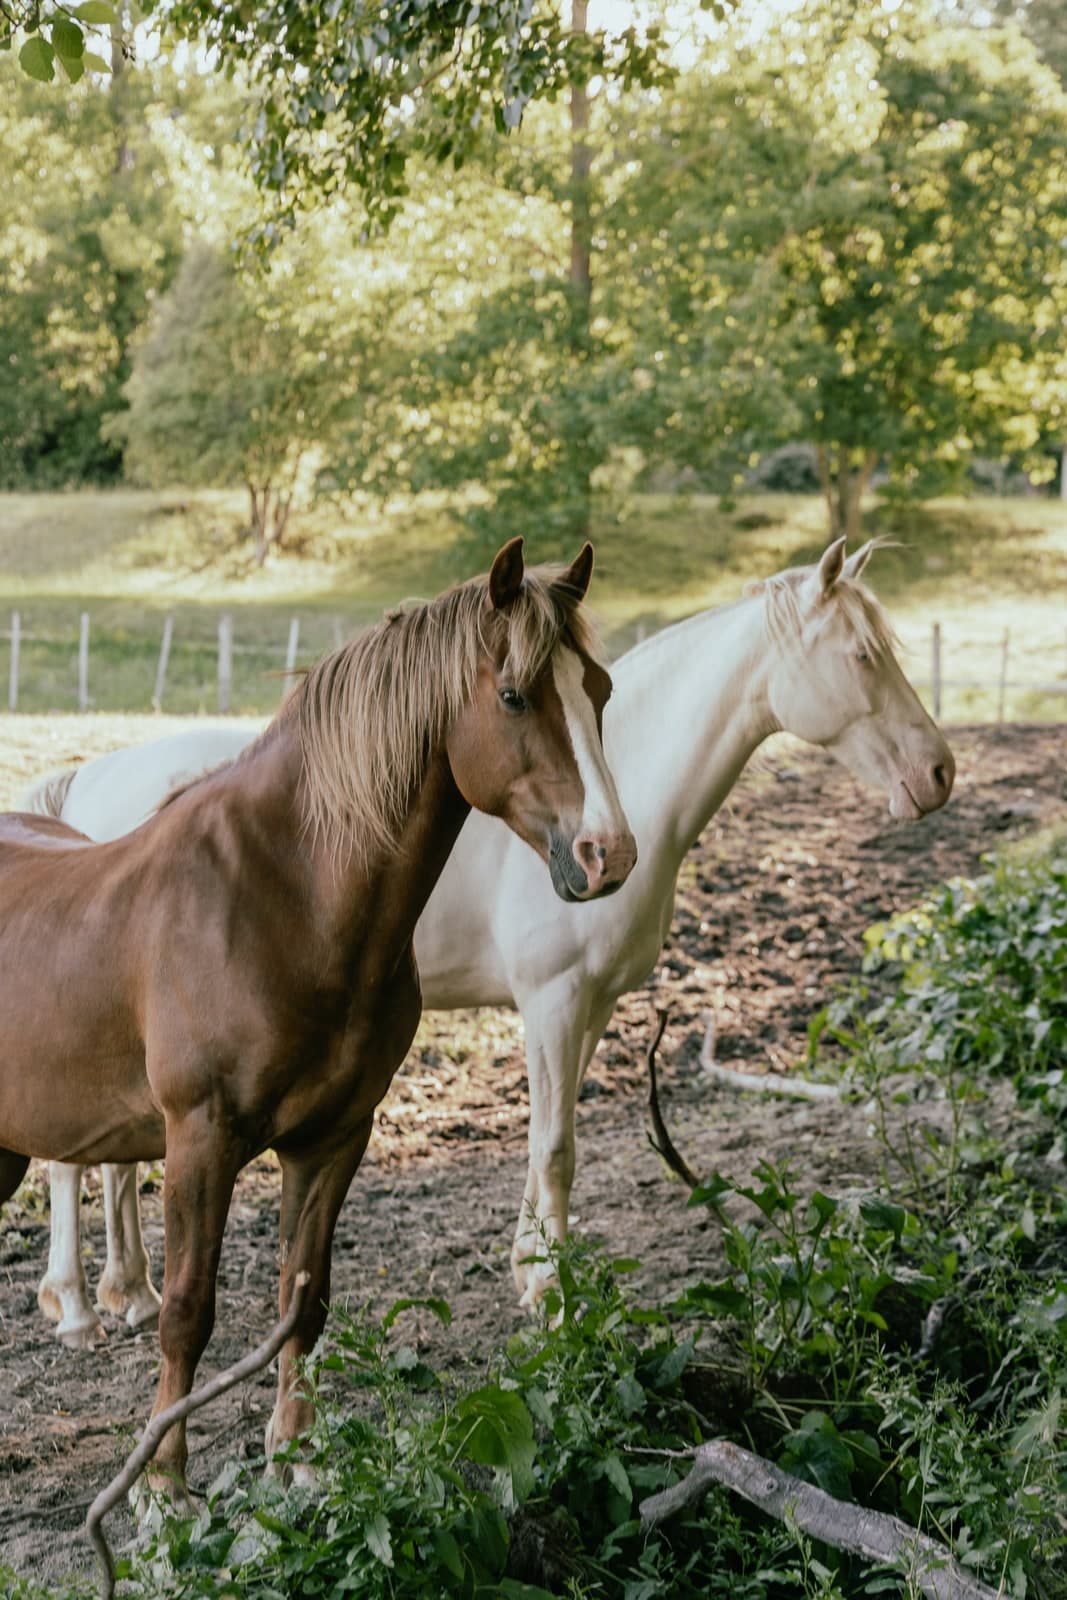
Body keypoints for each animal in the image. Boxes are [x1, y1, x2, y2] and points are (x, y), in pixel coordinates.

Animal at [0, 537, 637, 1504]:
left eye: (597, 689)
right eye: (515, 695)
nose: (609, 856)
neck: (284, 900)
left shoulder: (334, 1135)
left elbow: (304, 1298)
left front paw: (297, 1458)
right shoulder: (201, 1139)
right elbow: (188, 1311)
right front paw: (163, 1491)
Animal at [28, 536, 954, 1335]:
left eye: (600, 692)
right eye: (862, 656)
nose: (938, 773)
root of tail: (91, 783)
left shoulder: (589, 1010)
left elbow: (555, 1139)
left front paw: (532, 1264)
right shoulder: (551, 1004)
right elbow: (554, 1147)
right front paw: (548, 1291)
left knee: (111, 1159)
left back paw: (132, 1292)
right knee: (74, 1160)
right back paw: (75, 1303)